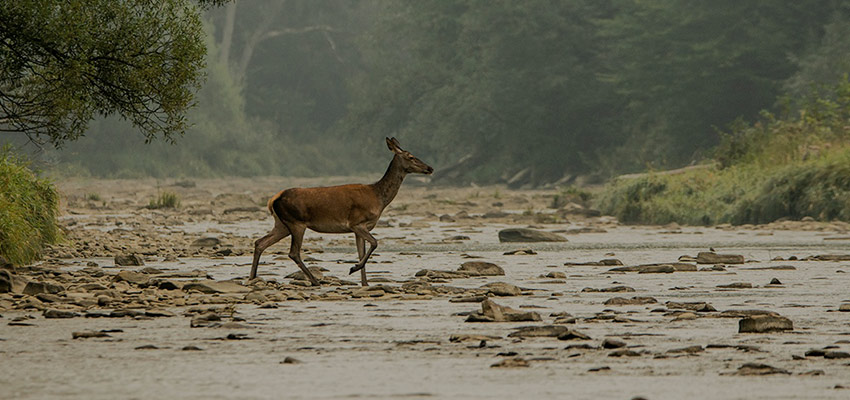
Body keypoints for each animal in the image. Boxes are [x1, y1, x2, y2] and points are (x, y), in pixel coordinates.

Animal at [245, 139, 430, 286]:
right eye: (410, 156)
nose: (430, 168)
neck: (379, 198)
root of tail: (273, 199)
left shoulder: (359, 228)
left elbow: (362, 251)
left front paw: (364, 282)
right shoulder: (356, 223)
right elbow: (375, 243)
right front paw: (353, 268)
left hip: (281, 224)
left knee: (260, 242)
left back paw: (252, 277)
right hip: (296, 222)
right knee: (293, 252)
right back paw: (315, 280)